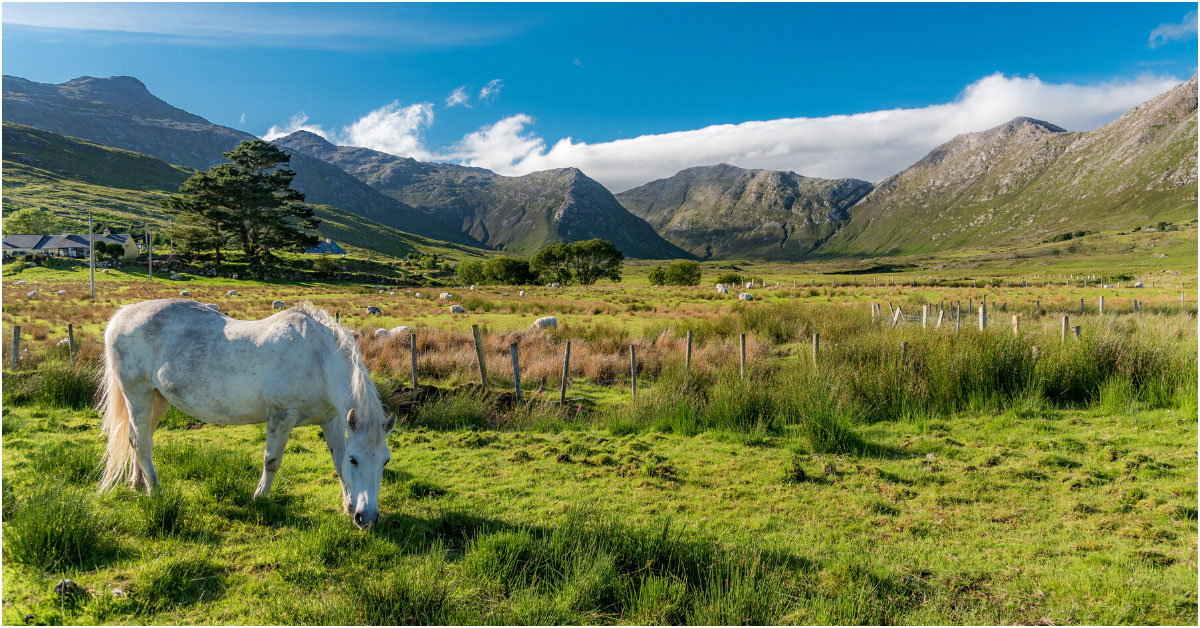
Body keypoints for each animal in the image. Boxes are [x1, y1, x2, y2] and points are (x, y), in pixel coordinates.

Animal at [98, 298, 396, 525]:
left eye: (385, 461)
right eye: (356, 460)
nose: (367, 517)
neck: (319, 359)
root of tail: (121, 315)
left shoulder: (331, 419)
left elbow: (336, 461)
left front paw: (348, 505)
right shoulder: (281, 416)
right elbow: (272, 461)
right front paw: (259, 498)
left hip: (157, 399)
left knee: (139, 439)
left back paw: (139, 485)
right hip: (137, 394)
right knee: (141, 442)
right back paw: (156, 491)